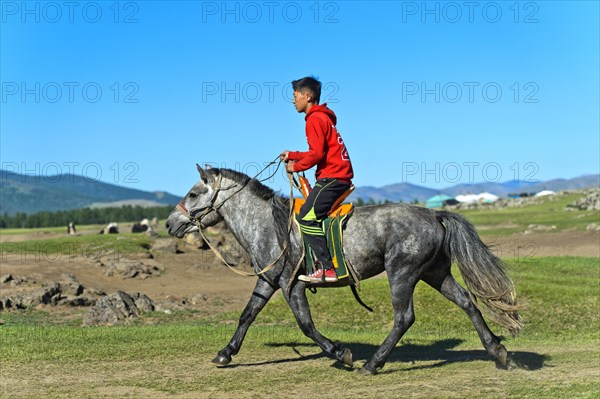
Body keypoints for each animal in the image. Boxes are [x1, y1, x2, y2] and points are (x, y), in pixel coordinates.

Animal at [165, 166, 520, 376]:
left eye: (193, 193)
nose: (170, 223)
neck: (267, 224)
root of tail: (436, 215)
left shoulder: (291, 285)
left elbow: (306, 325)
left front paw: (342, 353)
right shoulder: (268, 280)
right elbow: (246, 316)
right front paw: (225, 353)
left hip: (402, 273)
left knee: (404, 318)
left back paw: (372, 364)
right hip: (435, 273)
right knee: (468, 303)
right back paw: (498, 352)